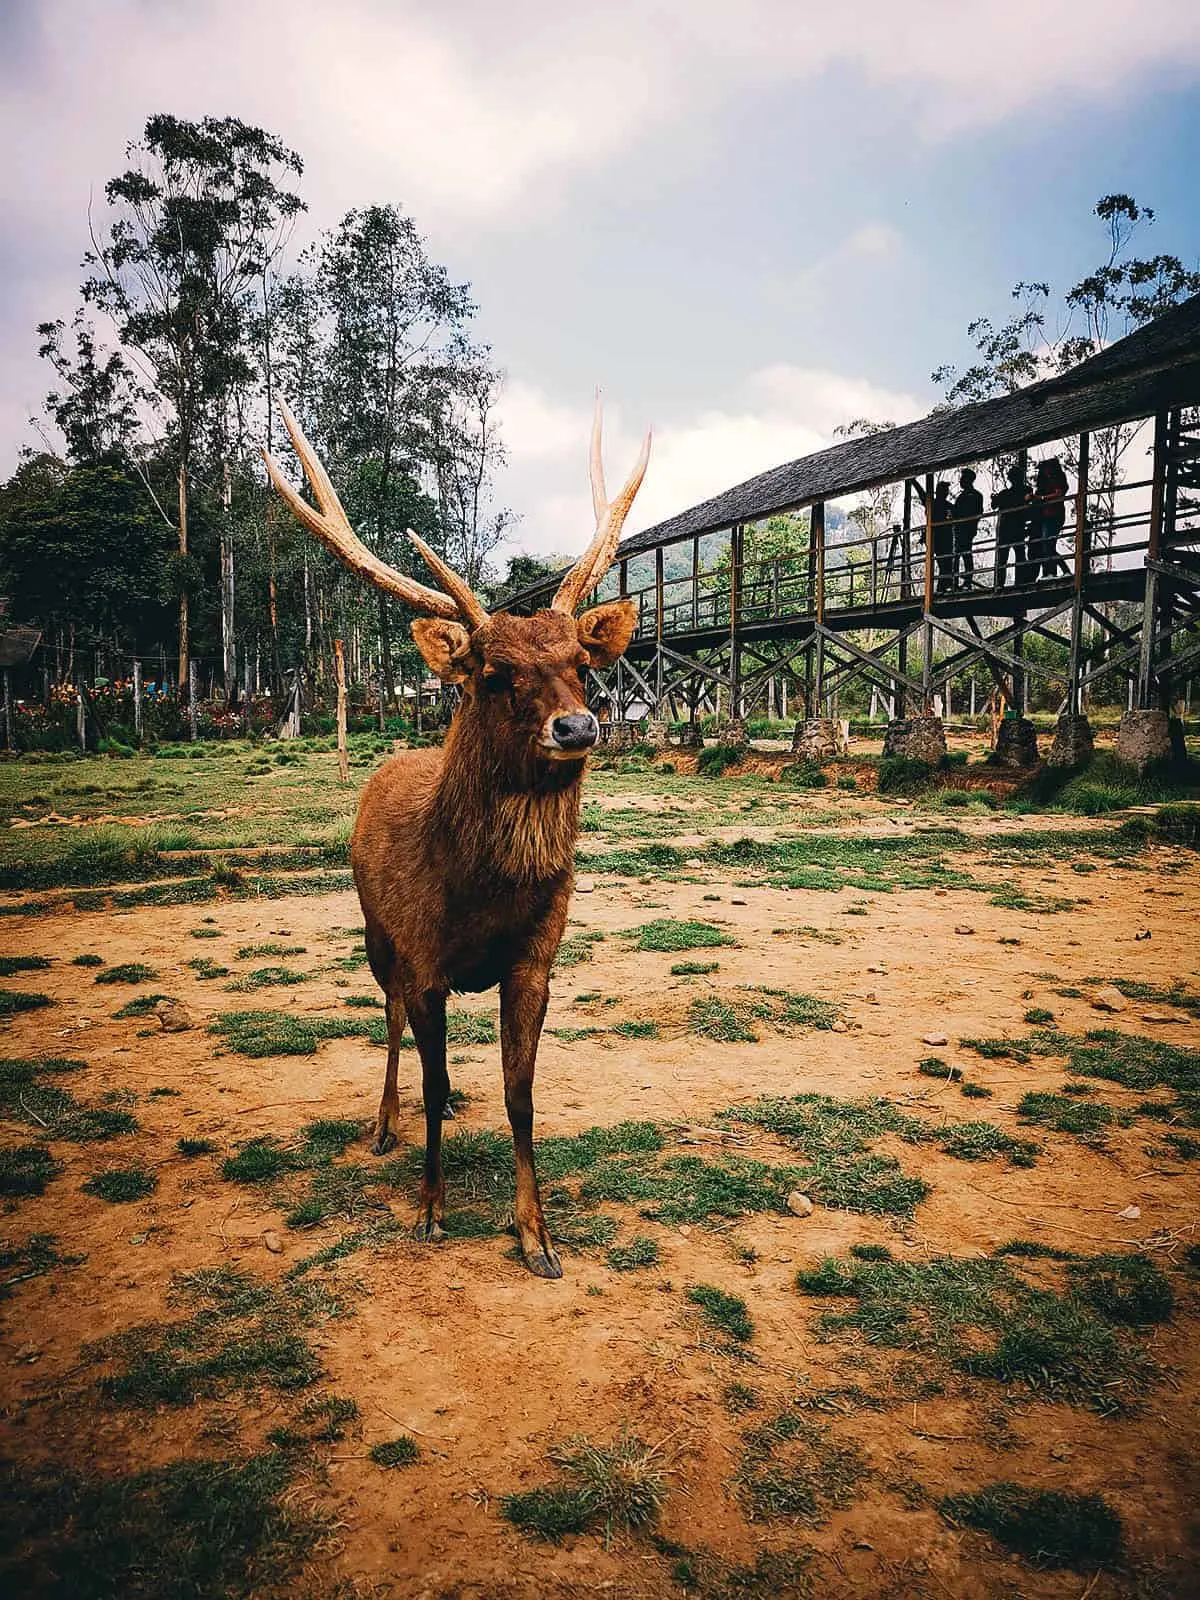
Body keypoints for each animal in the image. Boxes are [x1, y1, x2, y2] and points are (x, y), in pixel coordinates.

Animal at [264, 406, 652, 1280]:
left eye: (583, 665)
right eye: (496, 674)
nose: (577, 727)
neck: (481, 899)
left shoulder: (537, 958)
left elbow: (520, 1094)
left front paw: (537, 1234)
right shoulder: (423, 957)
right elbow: (429, 1061)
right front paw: (431, 1210)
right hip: (376, 934)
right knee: (389, 1022)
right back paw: (384, 1124)